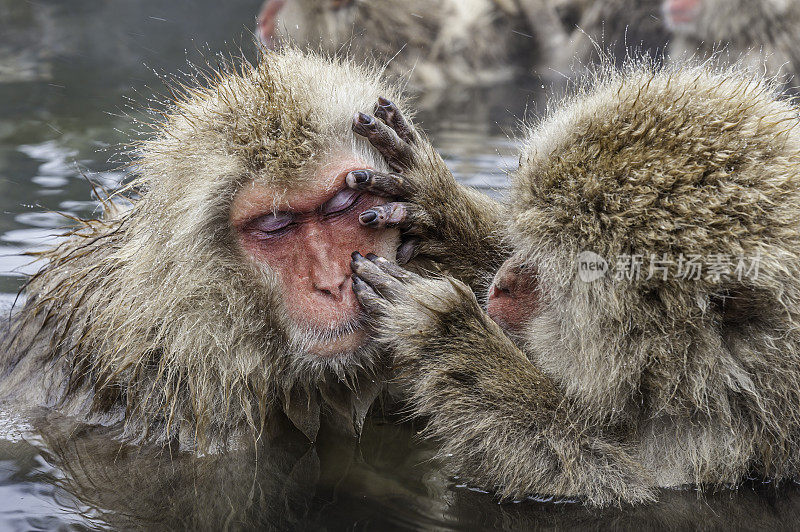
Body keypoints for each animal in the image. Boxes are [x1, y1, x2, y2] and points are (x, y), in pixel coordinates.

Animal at [346, 60, 800, 504]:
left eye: (562, 271)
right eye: (534, 244)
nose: (501, 283)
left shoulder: (717, 445)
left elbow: (605, 483)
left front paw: (444, 328)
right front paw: (440, 206)